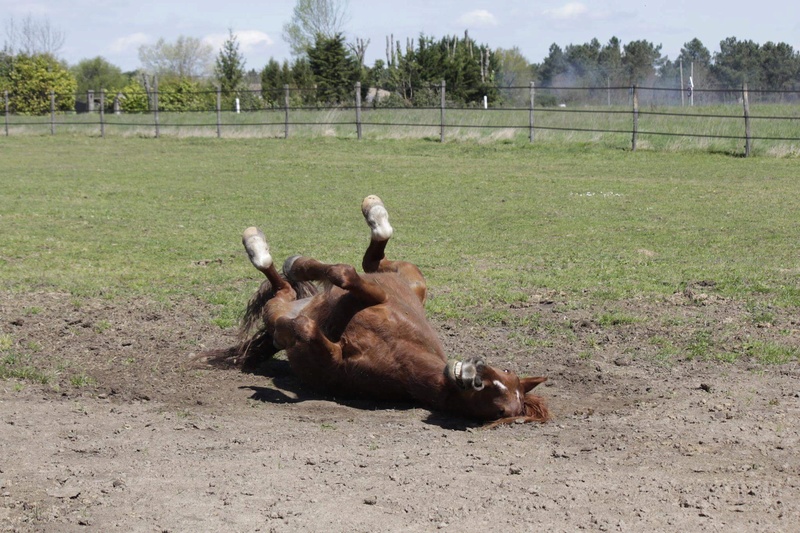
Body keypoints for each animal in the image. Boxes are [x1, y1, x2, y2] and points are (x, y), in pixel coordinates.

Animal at [203, 195, 548, 424]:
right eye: (505, 372)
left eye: (502, 410)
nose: (476, 372)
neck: (400, 356)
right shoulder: (376, 298)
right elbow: (348, 276)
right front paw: (307, 268)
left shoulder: (332, 360)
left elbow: (307, 327)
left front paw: (286, 337)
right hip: (413, 278)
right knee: (371, 260)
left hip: (283, 303)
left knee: (282, 291)